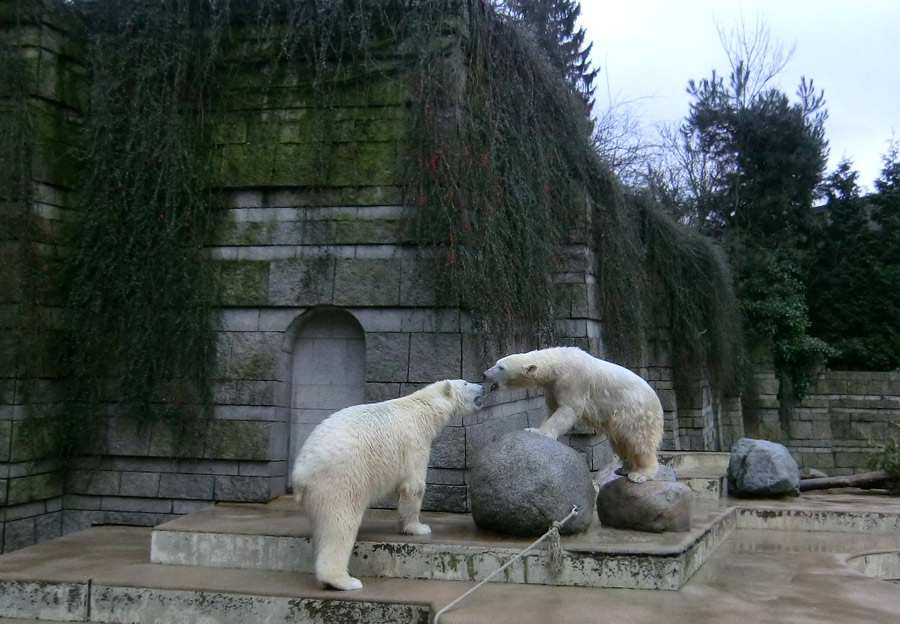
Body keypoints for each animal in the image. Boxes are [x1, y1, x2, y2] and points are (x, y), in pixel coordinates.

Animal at [290, 380, 486, 588]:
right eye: (465, 383)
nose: (482, 385)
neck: (423, 408)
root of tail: (300, 476)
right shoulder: (414, 442)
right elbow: (413, 486)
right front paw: (419, 528)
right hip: (340, 481)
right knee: (340, 526)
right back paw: (345, 581)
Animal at [482, 348, 664, 486]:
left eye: (500, 367)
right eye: (497, 362)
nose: (484, 374)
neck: (559, 363)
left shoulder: (573, 381)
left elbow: (567, 410)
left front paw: (539, 432)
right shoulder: (552, 386)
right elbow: (551, 408)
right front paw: (533, 427)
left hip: (636, 413)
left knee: (640, 441)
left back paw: (640, 474)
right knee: (621, 442)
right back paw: (624, 468)